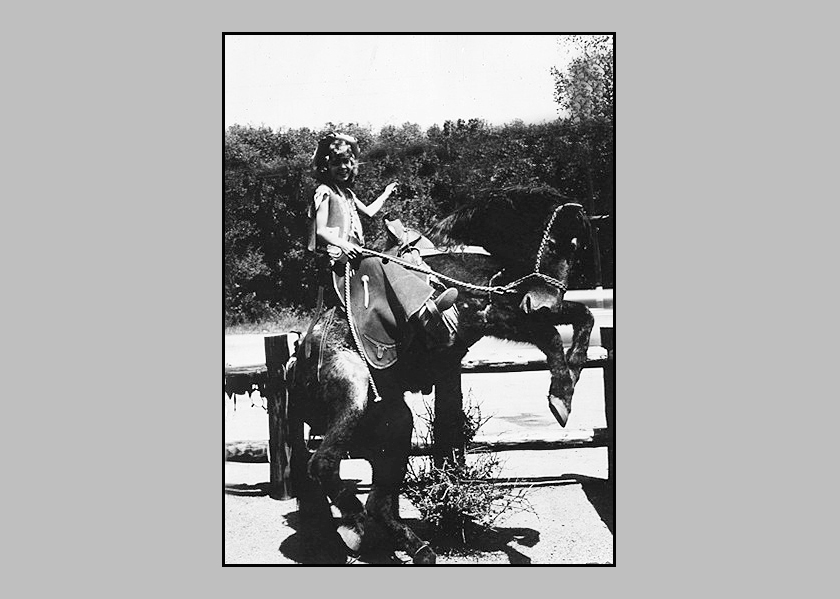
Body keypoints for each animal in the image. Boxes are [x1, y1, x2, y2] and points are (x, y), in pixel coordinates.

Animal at [288, 185, 596, 564]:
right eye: (551, 243)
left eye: (577, 250)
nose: (543, 303)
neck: (468, 258)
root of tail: (295, 368)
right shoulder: (491, 313)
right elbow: (551, 335)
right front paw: (560, 398)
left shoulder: (514, 308)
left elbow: (582, 315)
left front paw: (574, 372)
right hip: (353, 396)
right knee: (325, 466)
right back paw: (362, 530)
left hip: (394, 426)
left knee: (380, 500)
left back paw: (413, 547)